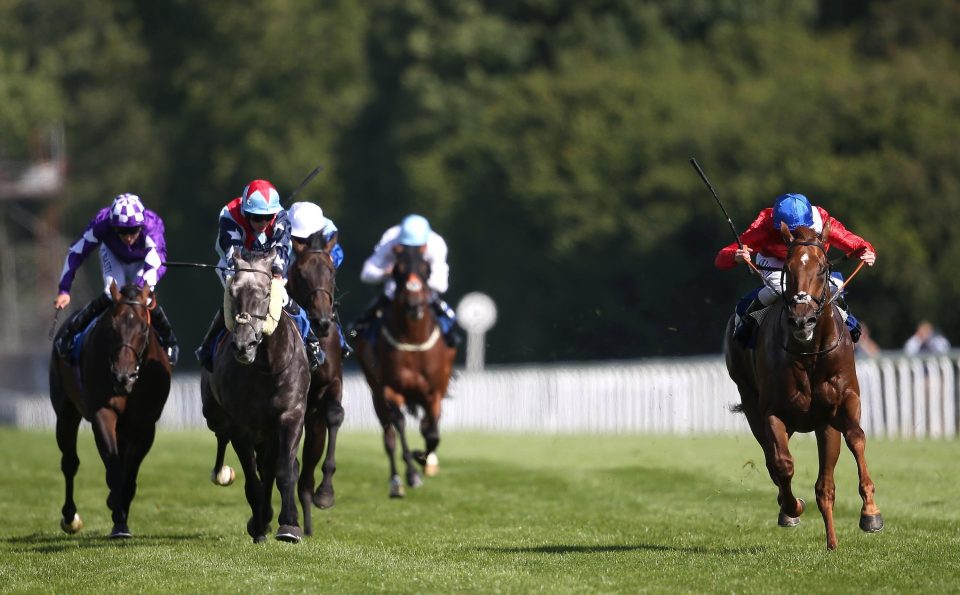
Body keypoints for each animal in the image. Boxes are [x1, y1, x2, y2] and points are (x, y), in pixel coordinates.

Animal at [47, 282, 172, 536]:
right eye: (112, 328)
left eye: (144, 328)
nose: (123, 377)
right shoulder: (102, 413)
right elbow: (114, 471)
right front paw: (119, 520)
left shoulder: (145, 425)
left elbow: (129, 476)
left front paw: (119, 510)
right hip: (65, 412)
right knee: (69, 462)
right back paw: (70, 517)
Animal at [201, 248, 310, 544]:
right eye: (233, 292)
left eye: (265, 293)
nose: (243, 345)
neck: (267, 368)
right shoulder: (242, 425)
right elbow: (252, 478)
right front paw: (260, 524)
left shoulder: (290, 415)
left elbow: (284, 470)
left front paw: (289, 526)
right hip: (215, 415)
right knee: (226, 439)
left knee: (270, 467)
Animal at [356, 243, 458, 498]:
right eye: (397, 270)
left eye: (427, 270)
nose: (413, 304)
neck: (413, 340)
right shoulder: (389, 389)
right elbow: (400, 425)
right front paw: (412, 472)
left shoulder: (434, 392)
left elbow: (432, 432)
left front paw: (422, 457)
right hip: (376, 394)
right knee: (389, 435)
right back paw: (396, 482)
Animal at [720, 225, 884, 556]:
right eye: (788, 268)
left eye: (822, 269)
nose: (802, 319)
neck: (809, 353)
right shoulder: (773, 412)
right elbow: (783, 464)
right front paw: (792, 508)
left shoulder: (840, 406)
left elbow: (854, 441)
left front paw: (869, 513)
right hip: (751, 402)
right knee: (772, 458)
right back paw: (788, 508)